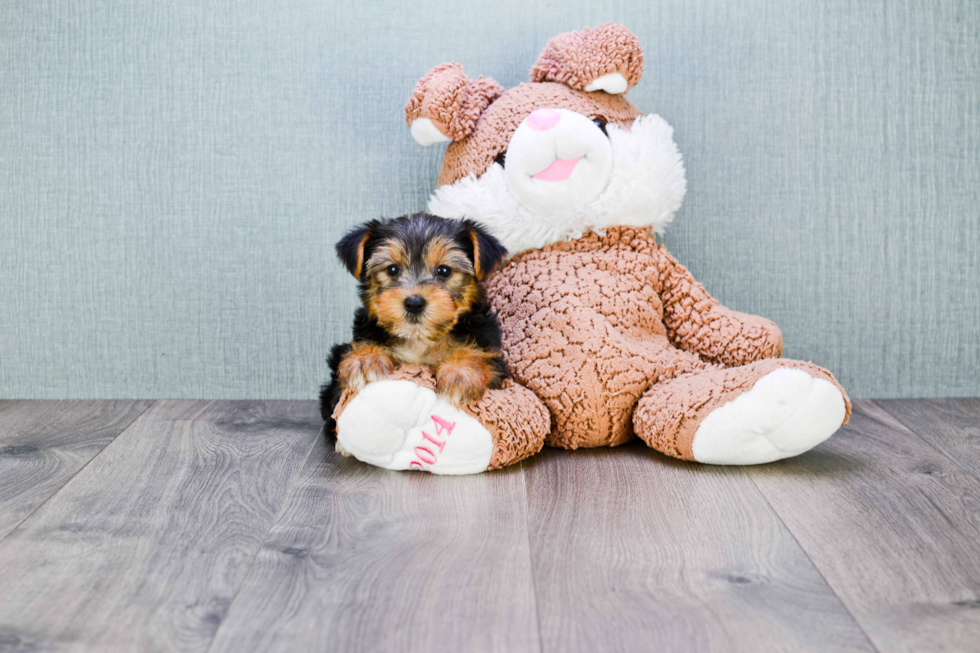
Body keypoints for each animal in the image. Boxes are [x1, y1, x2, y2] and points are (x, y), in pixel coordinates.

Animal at [320, 211, 510, 440]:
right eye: (392, 269)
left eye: (444, 271)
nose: (414, 303)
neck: (418, 337)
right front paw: (366, 359)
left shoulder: (493, 356)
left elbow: (479, 355)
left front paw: (459, 373)